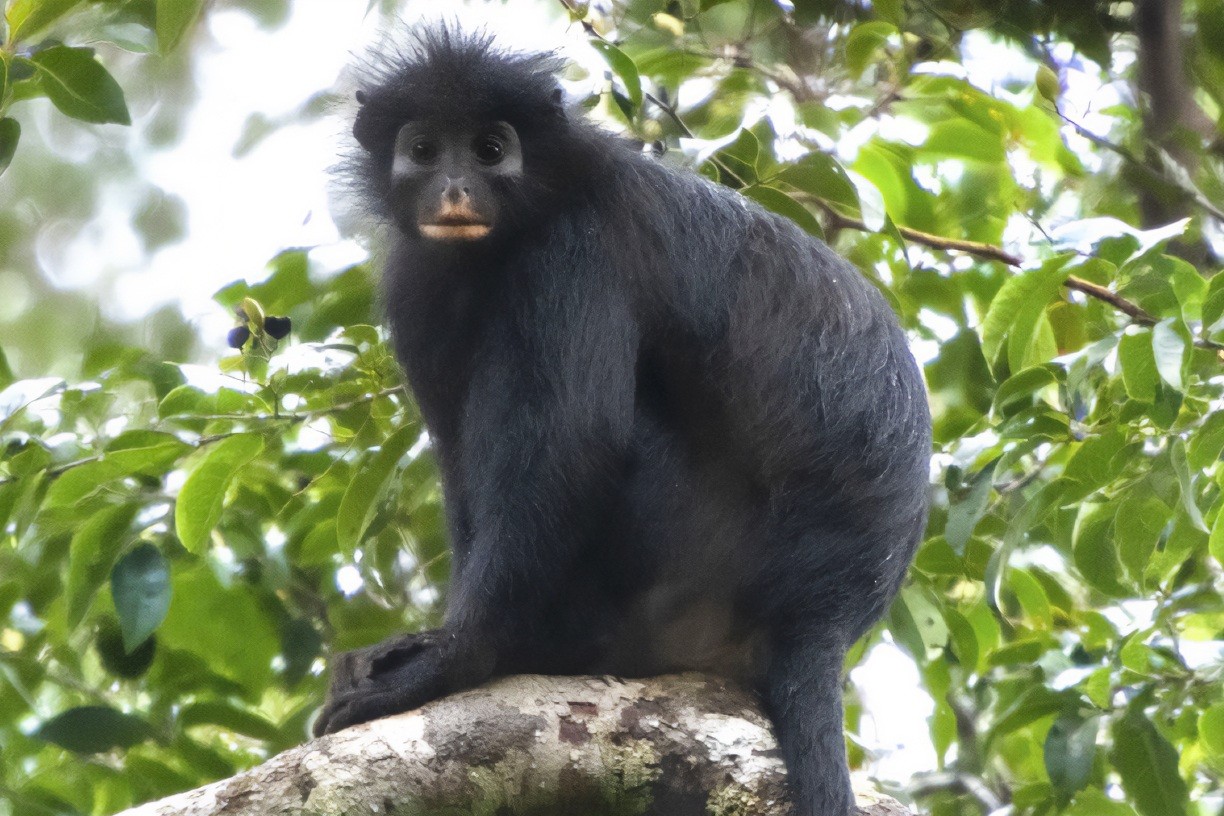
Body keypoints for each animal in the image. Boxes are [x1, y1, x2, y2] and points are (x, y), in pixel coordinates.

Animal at [314, 28, 931, 816]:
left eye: (490, 150)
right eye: (424, 149)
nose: (454, 188)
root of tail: (827, 611)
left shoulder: (575, 250)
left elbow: (574, 447)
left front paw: (459, 659)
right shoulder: (418, 281)